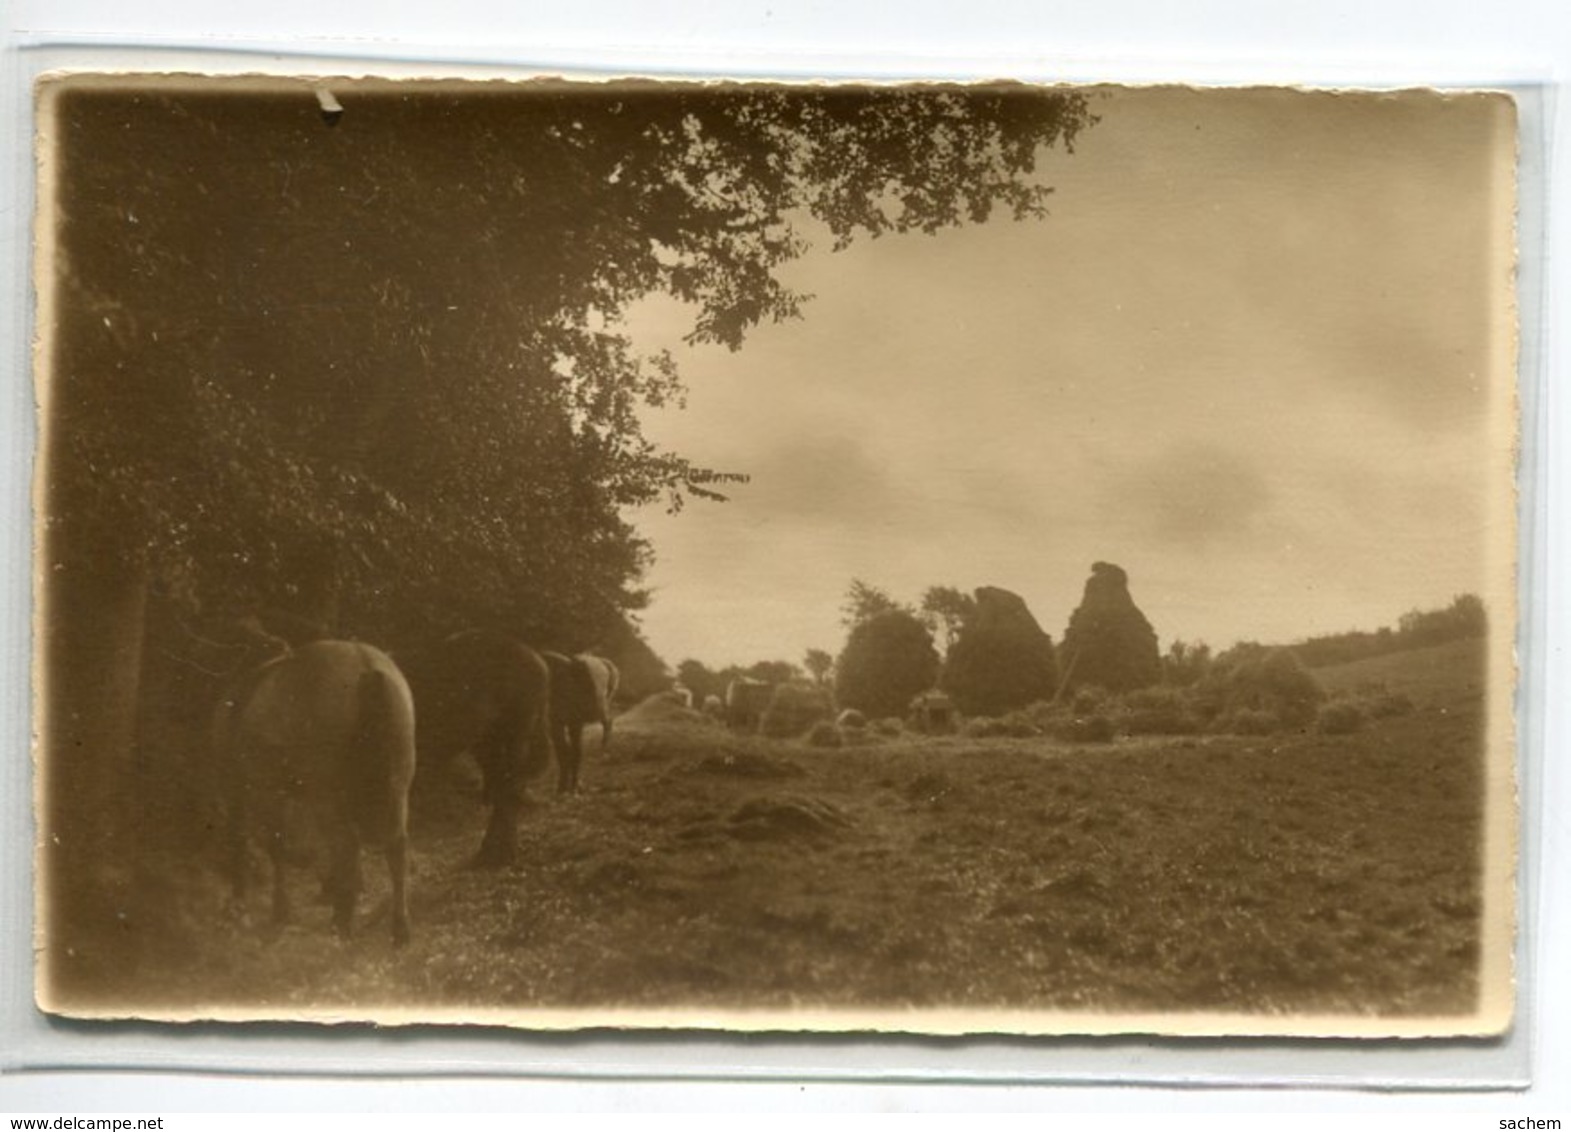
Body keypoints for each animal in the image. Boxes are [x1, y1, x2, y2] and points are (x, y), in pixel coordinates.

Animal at [218, 634, 424, 942]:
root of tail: (366, 664)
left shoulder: (259, 790)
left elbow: (273, 845)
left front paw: (278, 910)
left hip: (324, 794)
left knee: (347, 844)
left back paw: (341, 921)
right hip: (397, 787)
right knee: (394, 846)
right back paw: (399, 927)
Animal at [395, 628, 556, 866]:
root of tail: (535, 657)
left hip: (517, 730)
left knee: (510, 785)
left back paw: (498, 853)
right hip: (487, 740)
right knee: (500, 780)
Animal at [537, 649, 615, 791]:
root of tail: (604, 663)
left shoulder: (568, 724)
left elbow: (571, 751)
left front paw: (569, 786)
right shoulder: (562, 724)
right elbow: (568, 751)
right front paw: (567, 785)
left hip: (600, 710)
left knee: (608, 722)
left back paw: (604, 749)